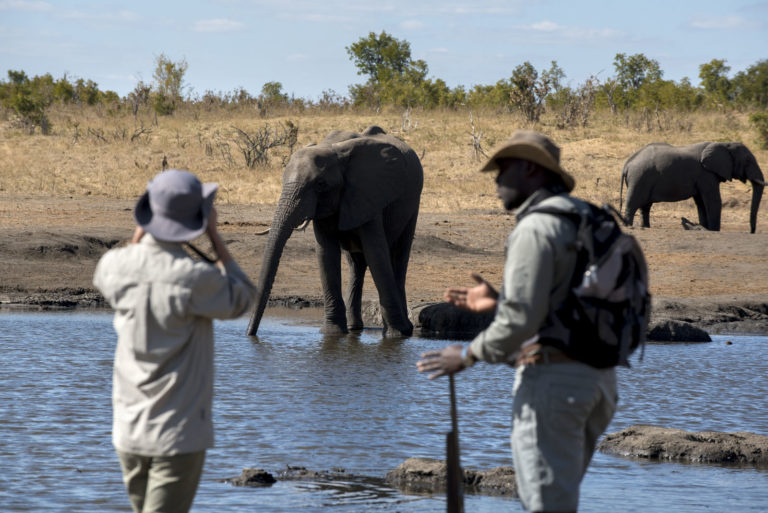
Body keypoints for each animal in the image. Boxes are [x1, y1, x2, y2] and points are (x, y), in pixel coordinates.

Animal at [248, 126, 424, 338]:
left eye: (320, 184)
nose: (250, 333)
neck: (335, 151)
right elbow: (326, 255)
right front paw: (332, 333)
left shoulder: (368, 193)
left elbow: (376, 254)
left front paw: (396, 335)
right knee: (356, 264)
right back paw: (354, 328)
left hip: (413, 202)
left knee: (399, 257)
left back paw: (406, 329)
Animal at [620, 140, 764, 232]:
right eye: (748, 161)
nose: (751, 231)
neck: (723, 143)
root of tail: (627, 163)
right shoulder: (706, 174)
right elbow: (713, 200)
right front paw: (714, 230)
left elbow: (701, 203)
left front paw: (706, 228)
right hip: (639, 178)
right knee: (633, 203)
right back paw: (629, 227)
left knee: (645, 206)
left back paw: (645, 227)